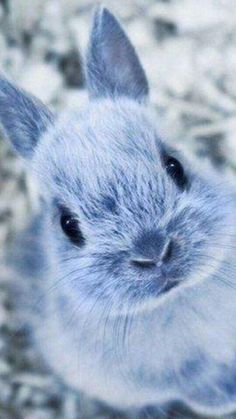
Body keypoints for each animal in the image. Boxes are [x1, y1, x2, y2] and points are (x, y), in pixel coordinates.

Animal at [0, 6, 236, 419]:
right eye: (68, 224)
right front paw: (225, 398)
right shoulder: (168, 374)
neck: (176, 298)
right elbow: (194, 380)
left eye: (175, 166)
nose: (154, 253)